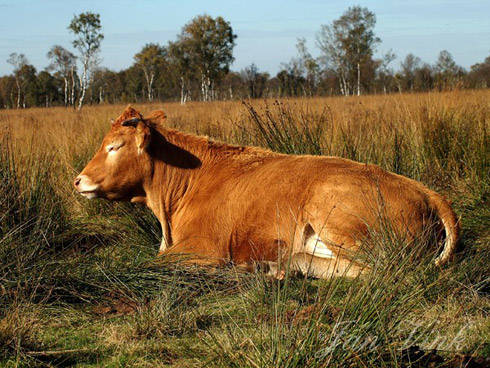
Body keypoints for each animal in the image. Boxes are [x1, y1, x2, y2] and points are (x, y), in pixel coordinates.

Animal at [73, 105, 460, 278]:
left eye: (114, 147)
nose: (78, 180)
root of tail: (425, 191)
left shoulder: (204, 248)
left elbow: (154, 261)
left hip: (339, 218)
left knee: (380, 270)